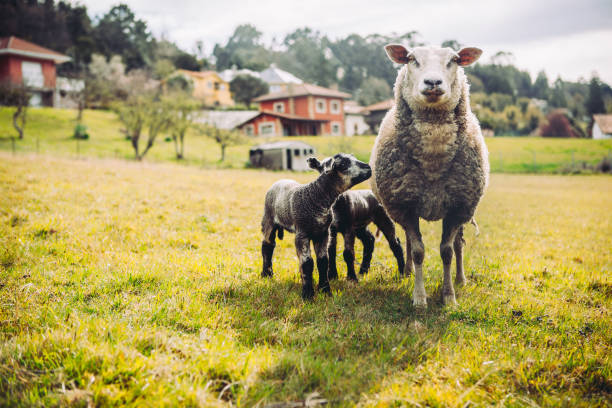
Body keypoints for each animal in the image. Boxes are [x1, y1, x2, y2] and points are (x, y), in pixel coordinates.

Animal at [368, 44, 492, 306]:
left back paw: (461, 279)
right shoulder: (405, 206)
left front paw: (449, 296)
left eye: (454, 60)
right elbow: (418, 251)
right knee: (407, 241)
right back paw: (407, 272)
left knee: (458, 244)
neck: (433, 159)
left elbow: (447, 251)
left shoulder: (458, 207)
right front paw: (419, 297)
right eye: (411, 59)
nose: (433, 82)